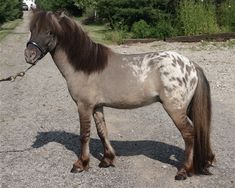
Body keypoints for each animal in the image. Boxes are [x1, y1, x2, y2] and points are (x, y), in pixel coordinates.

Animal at [24, 10, 215, 181]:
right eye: (32, 29)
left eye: (49, 31)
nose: (29, 56)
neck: (86, 65)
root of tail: (191, 64)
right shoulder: (97, 106)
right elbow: (102, 132)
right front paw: (107, 160)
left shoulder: (83, 106)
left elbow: (84, 135)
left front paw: (81, 164)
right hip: (187, 108)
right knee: (200, 131)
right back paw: (207, 161)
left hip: (175, 109)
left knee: (189, 135)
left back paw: (184, 171)